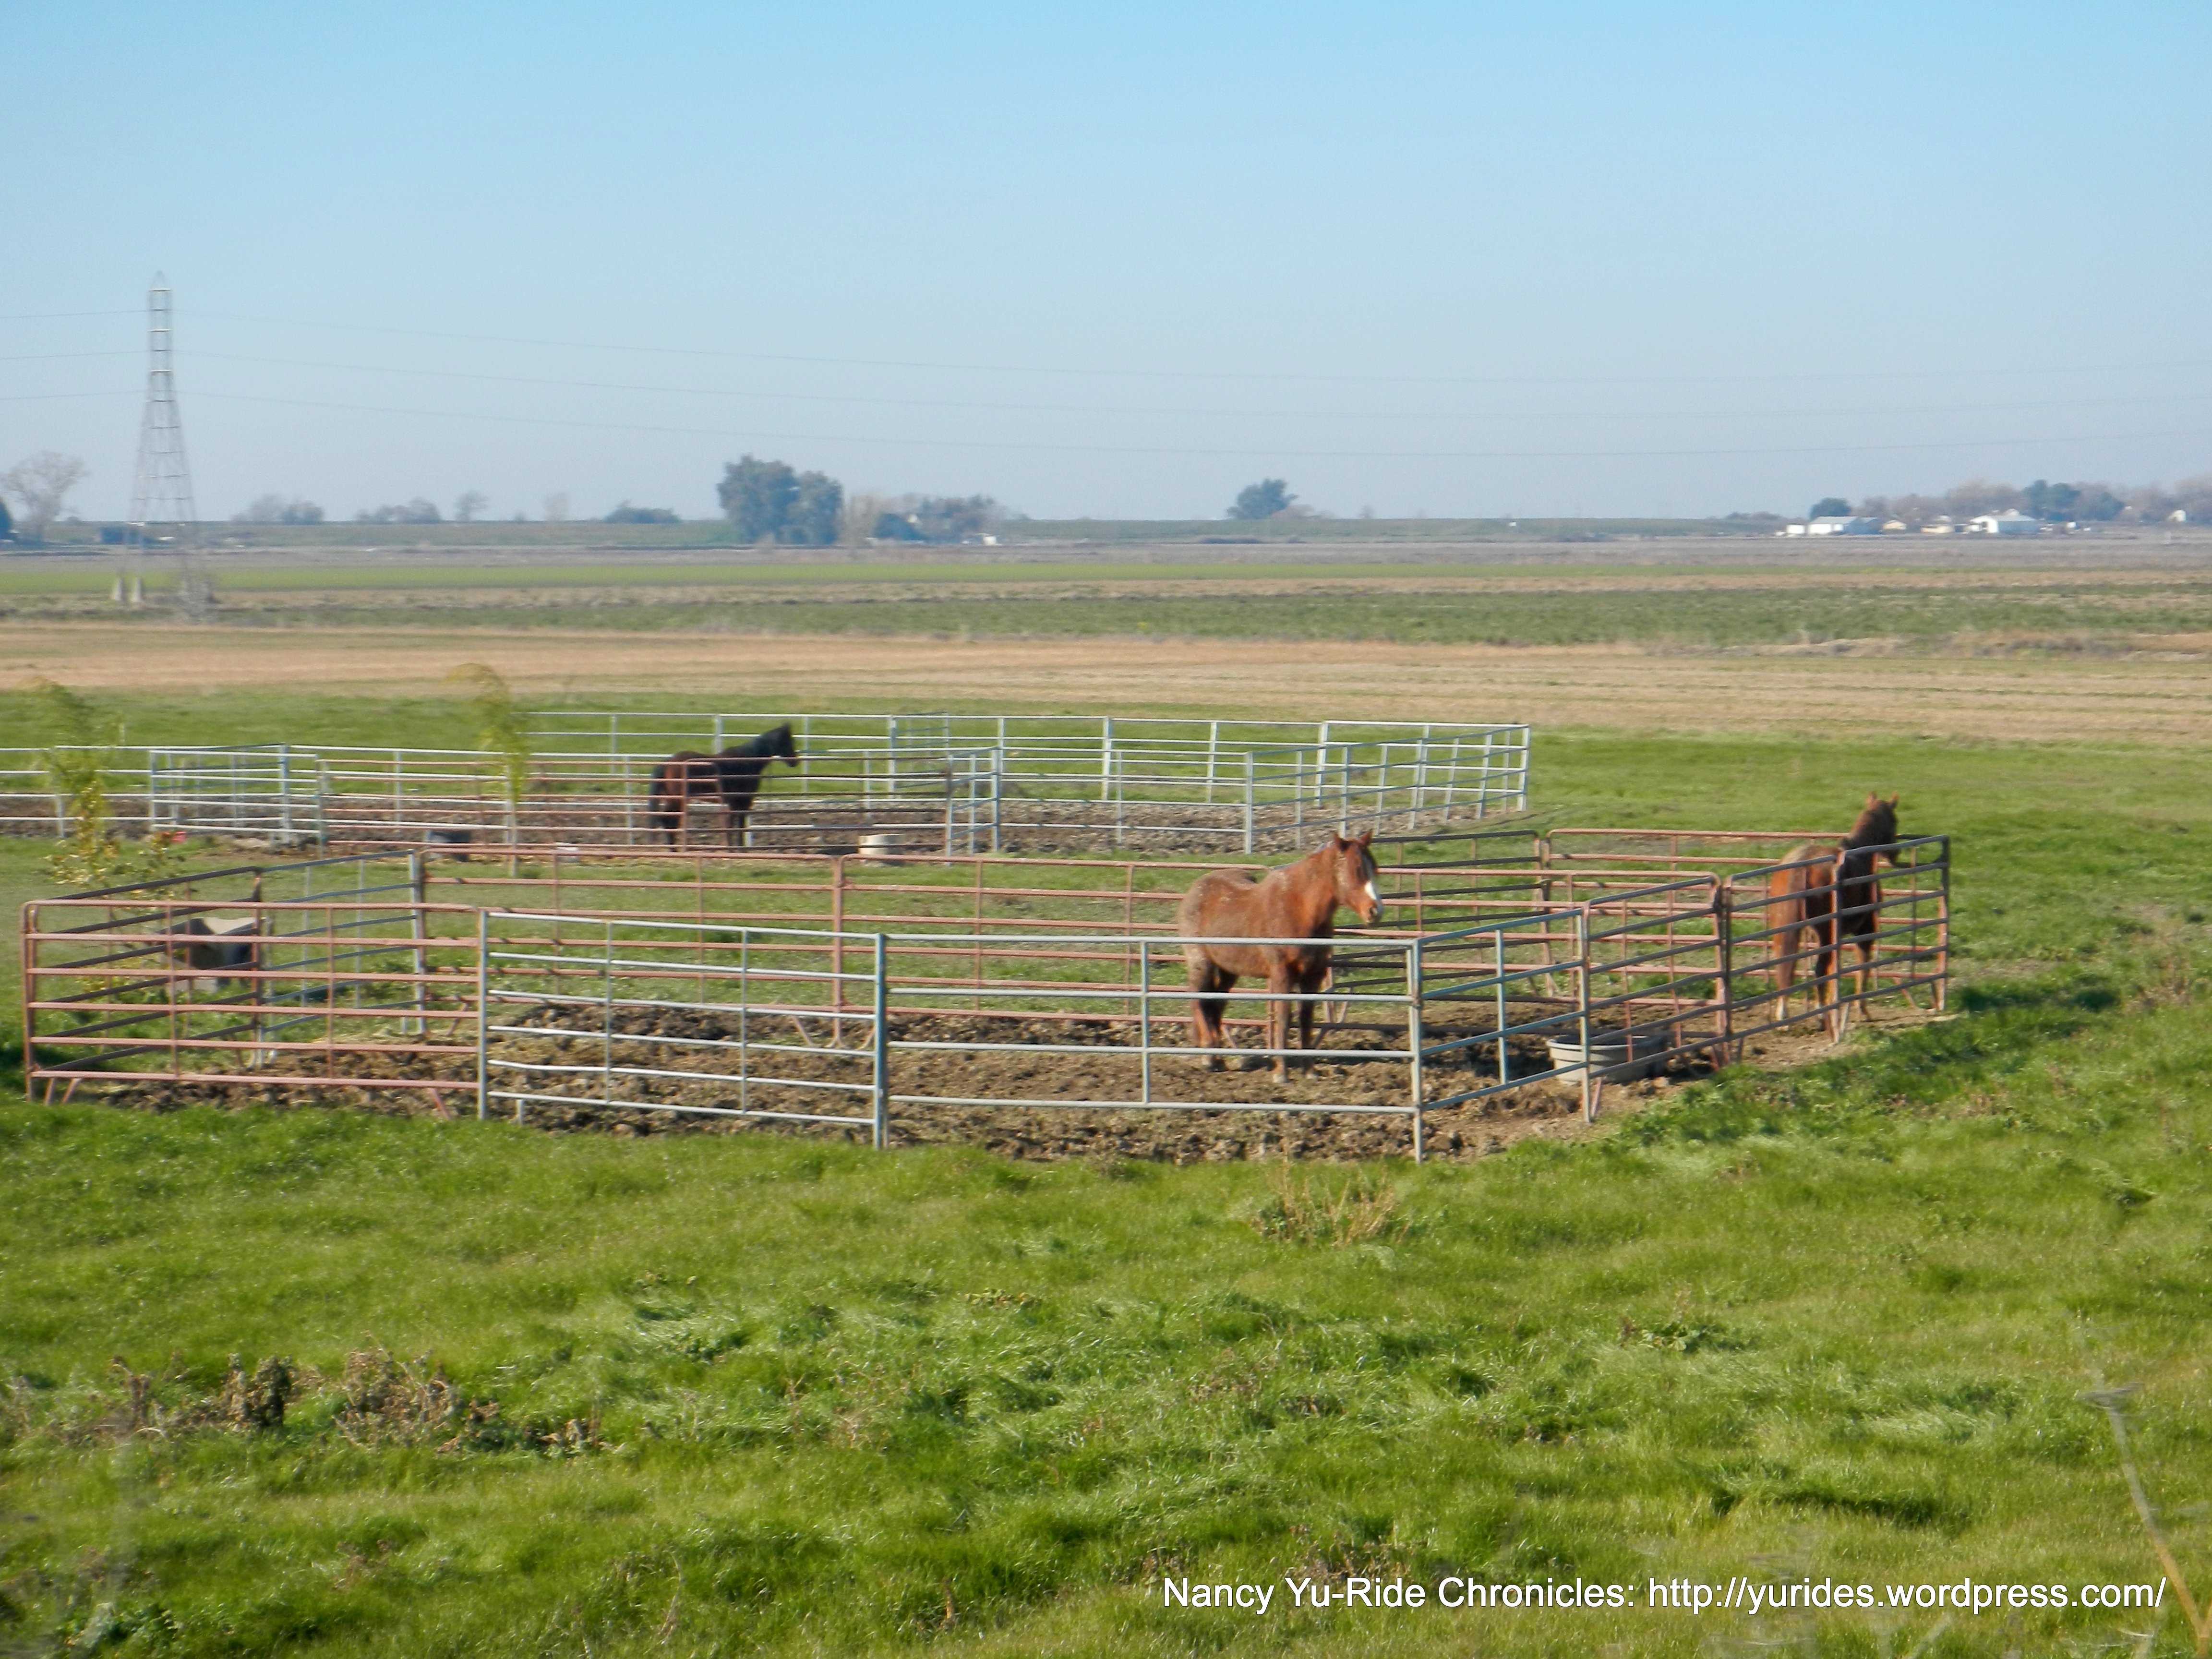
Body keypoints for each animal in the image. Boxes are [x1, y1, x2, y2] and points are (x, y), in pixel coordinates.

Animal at [645, 723, 800, 848]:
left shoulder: (737, 803)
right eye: (788, 741)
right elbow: (736, 827)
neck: (748, 761)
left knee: (669, 822)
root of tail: (668, 762)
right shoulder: (742, 802)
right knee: (667, 821)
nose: (795, 762)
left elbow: (736, 826)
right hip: (676, 800)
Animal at [1176, 830, 1385, 1079]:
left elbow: (1306, 1019)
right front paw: (1281, 1072)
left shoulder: (1313, 976)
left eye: (1374, 868)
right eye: (1356, 869)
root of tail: (1196, 890)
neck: (1301, 910)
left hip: (1228, 971)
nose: (1376, 911)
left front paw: (1310, 1071)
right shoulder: (1282, 975)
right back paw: (1209, 1056)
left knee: (1215, 1005)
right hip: (1201, 963)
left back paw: (1216, 1059)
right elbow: (1284, 1019)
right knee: (1198, 998)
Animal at [1767, 794, 1903, 1023]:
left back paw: (1784, 1015)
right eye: (1895, 821)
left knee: (1786, 966)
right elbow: (1862, 967)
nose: (1895, 855)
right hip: (1825, 935)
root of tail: (1802, 865)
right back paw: (1822, 1015)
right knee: (1820, 970)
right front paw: (1862, 1010)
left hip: (1786, 928)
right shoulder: (1865, 930)